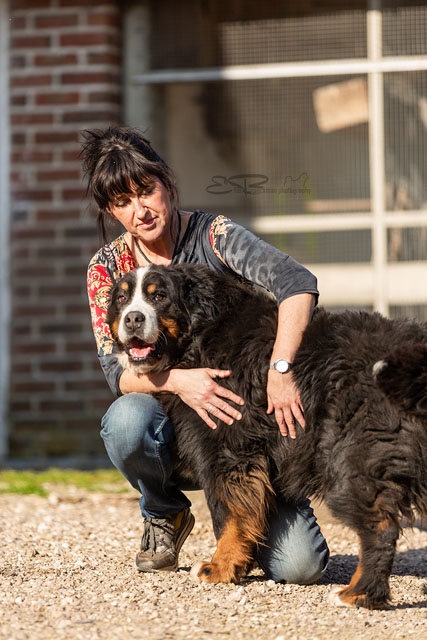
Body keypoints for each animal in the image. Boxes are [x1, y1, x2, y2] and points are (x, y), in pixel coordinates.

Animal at [107, 263, 427, 609]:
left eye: (160, 297)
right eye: (122, 298)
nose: (133, 318)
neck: (200, 336)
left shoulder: (228, 448)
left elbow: (229, 515)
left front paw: (219, 567)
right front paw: (240, 565)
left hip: (353, 459)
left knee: (379, 526)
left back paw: (358, 593)